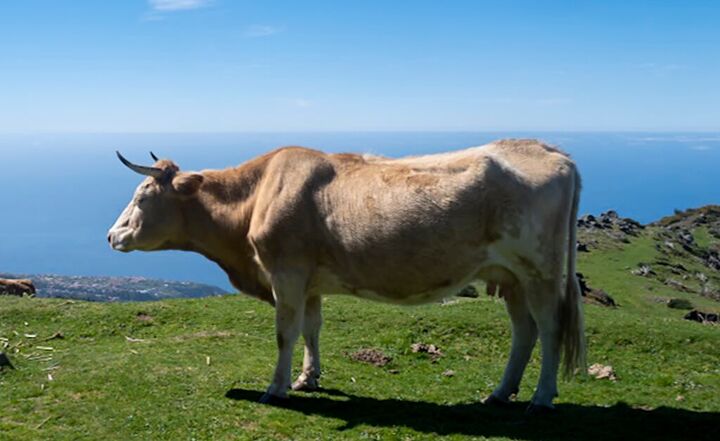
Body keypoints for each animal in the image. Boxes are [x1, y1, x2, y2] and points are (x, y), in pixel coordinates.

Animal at [107, 139, 585, 413]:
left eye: (142, 196)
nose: (112, 235)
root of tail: (549, 149)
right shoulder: (310, 281)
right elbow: (312, 329)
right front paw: (308, 378)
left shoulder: (286, 273)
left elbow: (285, 332)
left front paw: (276, 388)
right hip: (511, 276)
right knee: (523, 330)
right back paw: (501, 393)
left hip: (540, 269)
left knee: (548, 327)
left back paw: (542, 397)